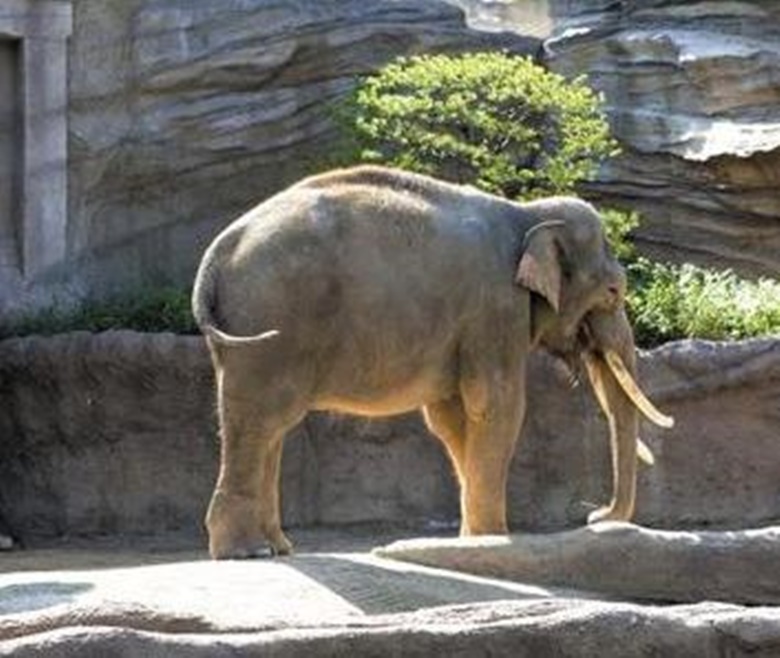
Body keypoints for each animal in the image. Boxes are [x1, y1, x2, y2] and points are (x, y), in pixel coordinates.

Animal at [192, 165, 672, 560]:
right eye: (612, 292)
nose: (595, 516)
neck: (527, 214)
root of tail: (216, 253)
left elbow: (452, 418)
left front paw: (471, 538)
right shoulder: (495, 308)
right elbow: (496, 406)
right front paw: (492, 539)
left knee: (267, 424)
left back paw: (277, 547)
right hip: (271, 321)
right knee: (262, 419)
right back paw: (246, 553)